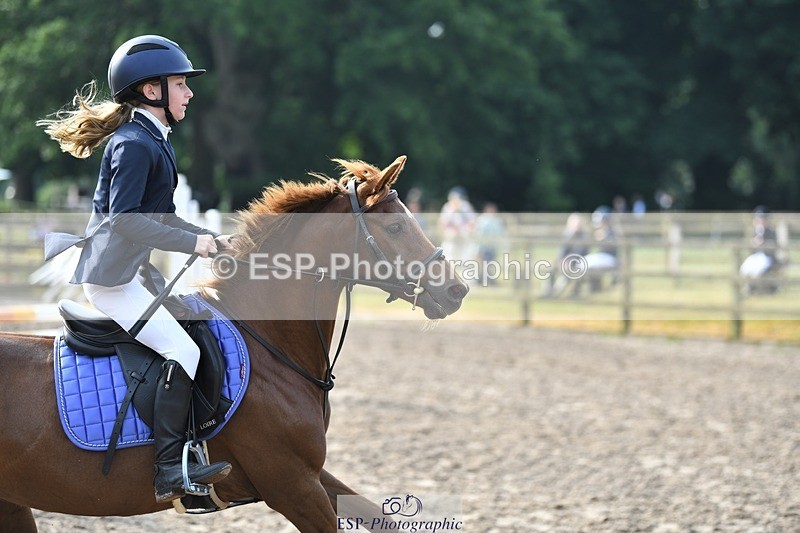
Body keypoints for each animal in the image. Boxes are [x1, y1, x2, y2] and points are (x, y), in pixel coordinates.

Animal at [0, 155, 468, 532]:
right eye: (395, 225)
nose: (456, 290)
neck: (270, 342)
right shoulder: (291, 484)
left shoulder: (309, 473)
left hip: (13, 503)